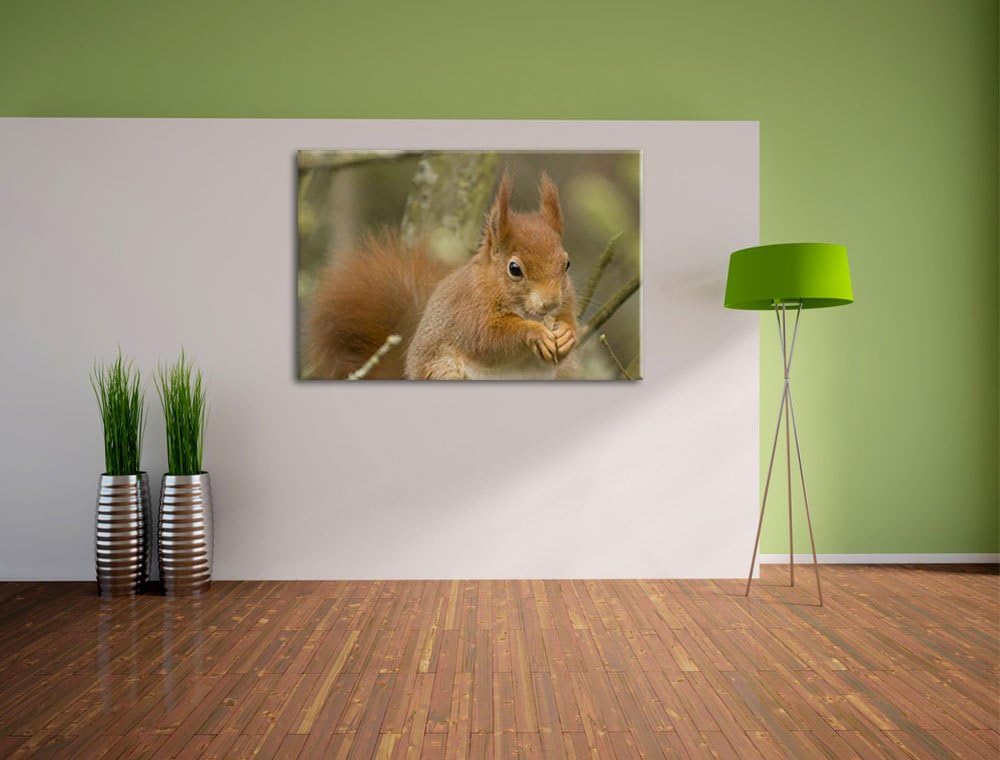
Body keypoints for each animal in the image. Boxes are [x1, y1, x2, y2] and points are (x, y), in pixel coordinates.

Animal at [307, 172, 581, 380]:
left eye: (567, 264)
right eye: (514, 269)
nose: (550, 303)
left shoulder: (567, 299)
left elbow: (567, 318)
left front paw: (567, 333)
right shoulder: (469, 312)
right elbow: (489, 339)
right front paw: (534, 332)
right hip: (442, 371)